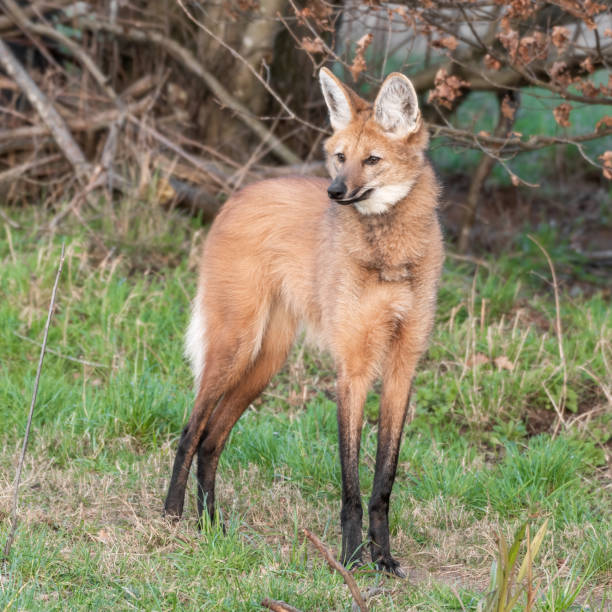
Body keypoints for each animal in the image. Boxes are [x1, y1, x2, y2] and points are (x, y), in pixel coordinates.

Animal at [165, 69, 442, 576]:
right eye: (340, 157)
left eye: (372, 160)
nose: (335, 192)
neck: (389, 256)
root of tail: (236, 195)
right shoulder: (353, 369)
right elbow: (351, 484)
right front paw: (350, 559)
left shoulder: (402, 367)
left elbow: (384, 480)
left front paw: (383, 557)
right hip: (236, 345)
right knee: (191, 431)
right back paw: (172, 517)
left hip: (267, 361)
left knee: (213, 439)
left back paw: (211, 525)